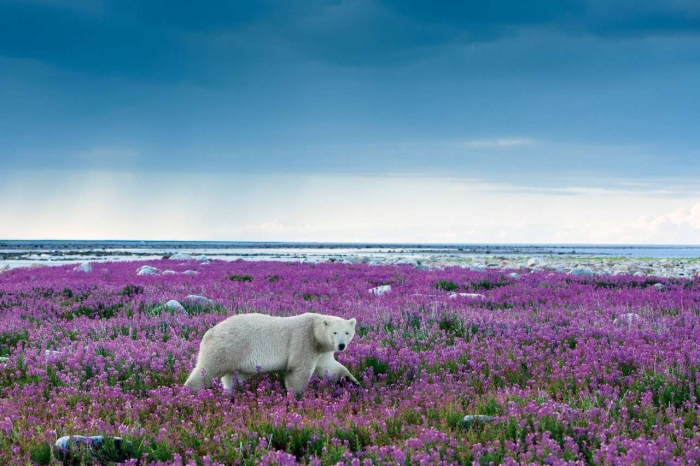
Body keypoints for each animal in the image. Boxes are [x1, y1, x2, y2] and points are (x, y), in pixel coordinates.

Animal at [185, 312, 358, 396]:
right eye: (335, 332)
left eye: (347, 332)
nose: (341, 345)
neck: (315, 332)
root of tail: (209, 332)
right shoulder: (303, 340)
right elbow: (299, 371)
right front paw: (296, 396)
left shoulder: (322, 350)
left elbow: (329, 367)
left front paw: (351, 380)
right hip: (226, 348)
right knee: (207, 370)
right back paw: (190, 392)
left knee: (233, 378)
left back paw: (231, 393)